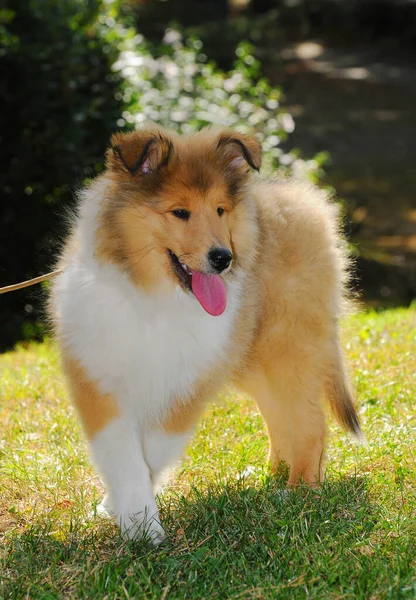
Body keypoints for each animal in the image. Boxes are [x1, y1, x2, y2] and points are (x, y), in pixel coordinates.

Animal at [49, 125, 364, 544]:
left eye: (219, 210)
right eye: (180, 212)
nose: (222, 258)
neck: (155, 298)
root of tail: (310, 204)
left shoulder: (188, 384)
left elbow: (152, 451)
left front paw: (140, 525)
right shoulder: (98, 381)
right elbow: (122, 455)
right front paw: (130, 516)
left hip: (287, 346)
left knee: (310, 420)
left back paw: (299, 490)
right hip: (251, 357)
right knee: (279, 414)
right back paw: (272, 478)